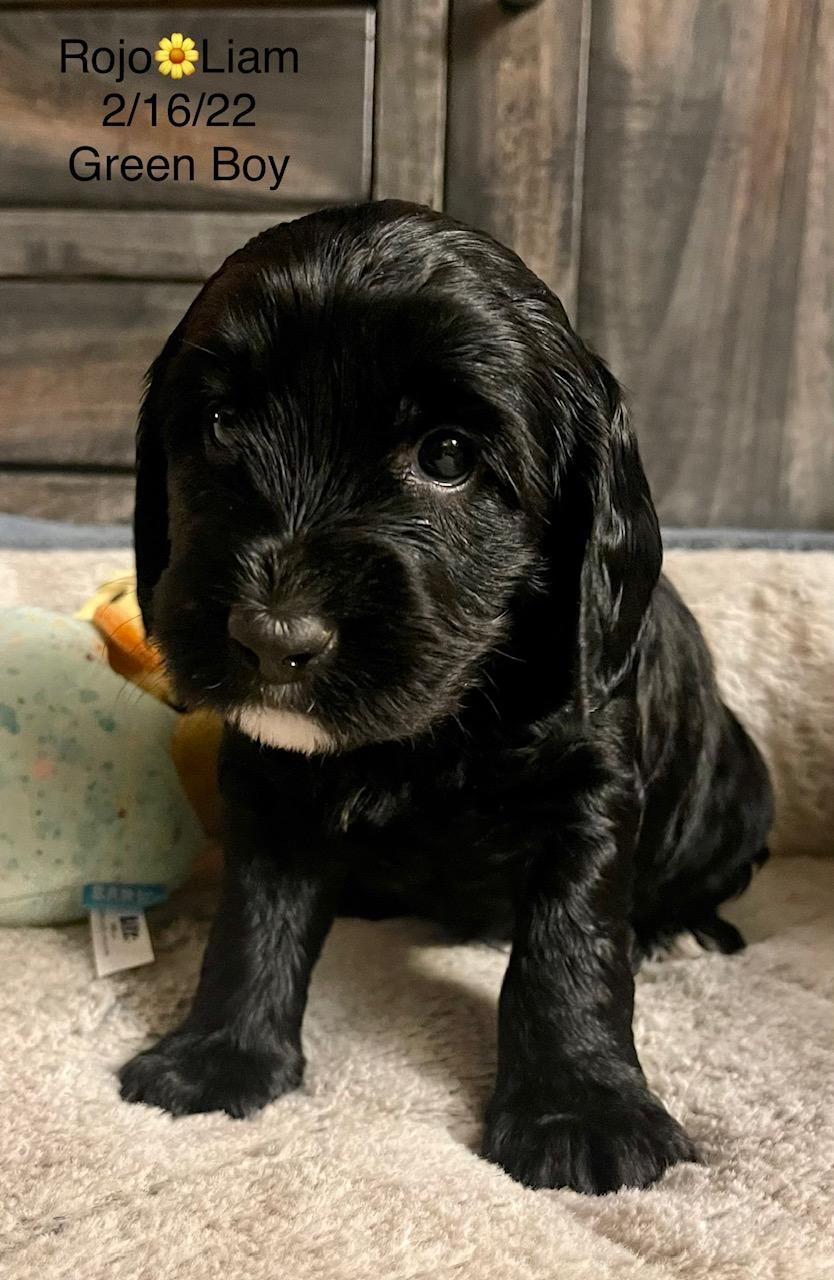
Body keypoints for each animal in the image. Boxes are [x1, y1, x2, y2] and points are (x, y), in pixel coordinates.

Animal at [120, 200, 773, 1194]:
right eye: (223, 424)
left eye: (449, 456)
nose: (272, 635)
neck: (431, 732)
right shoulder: (269, 782)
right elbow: (254, 917)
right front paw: (218, 1055)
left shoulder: (589, 786)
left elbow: (570, 947)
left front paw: (580, 1109)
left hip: (742, 789)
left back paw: (679, 930)